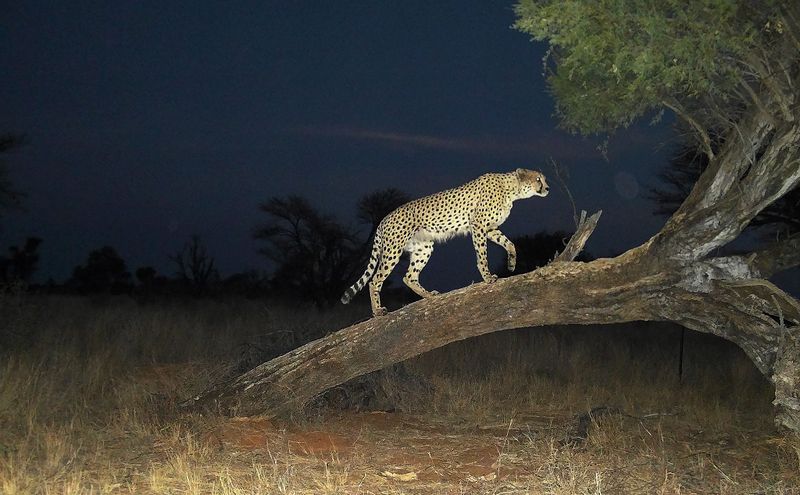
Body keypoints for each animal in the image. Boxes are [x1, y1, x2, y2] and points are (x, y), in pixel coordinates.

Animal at [341, 168, 550, 316]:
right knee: (375, 280)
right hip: (393, 250)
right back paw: (377, 311)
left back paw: (428, 295)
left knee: (409, 276)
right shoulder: (478, 225)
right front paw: (488, 277)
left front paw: (512, 264)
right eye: (538, 179)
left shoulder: (490, 228)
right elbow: (482, 254)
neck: (512, 190)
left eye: (544, 179)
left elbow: (509, 243)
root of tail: (383, 219)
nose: (548, 188)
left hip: (424, 248)